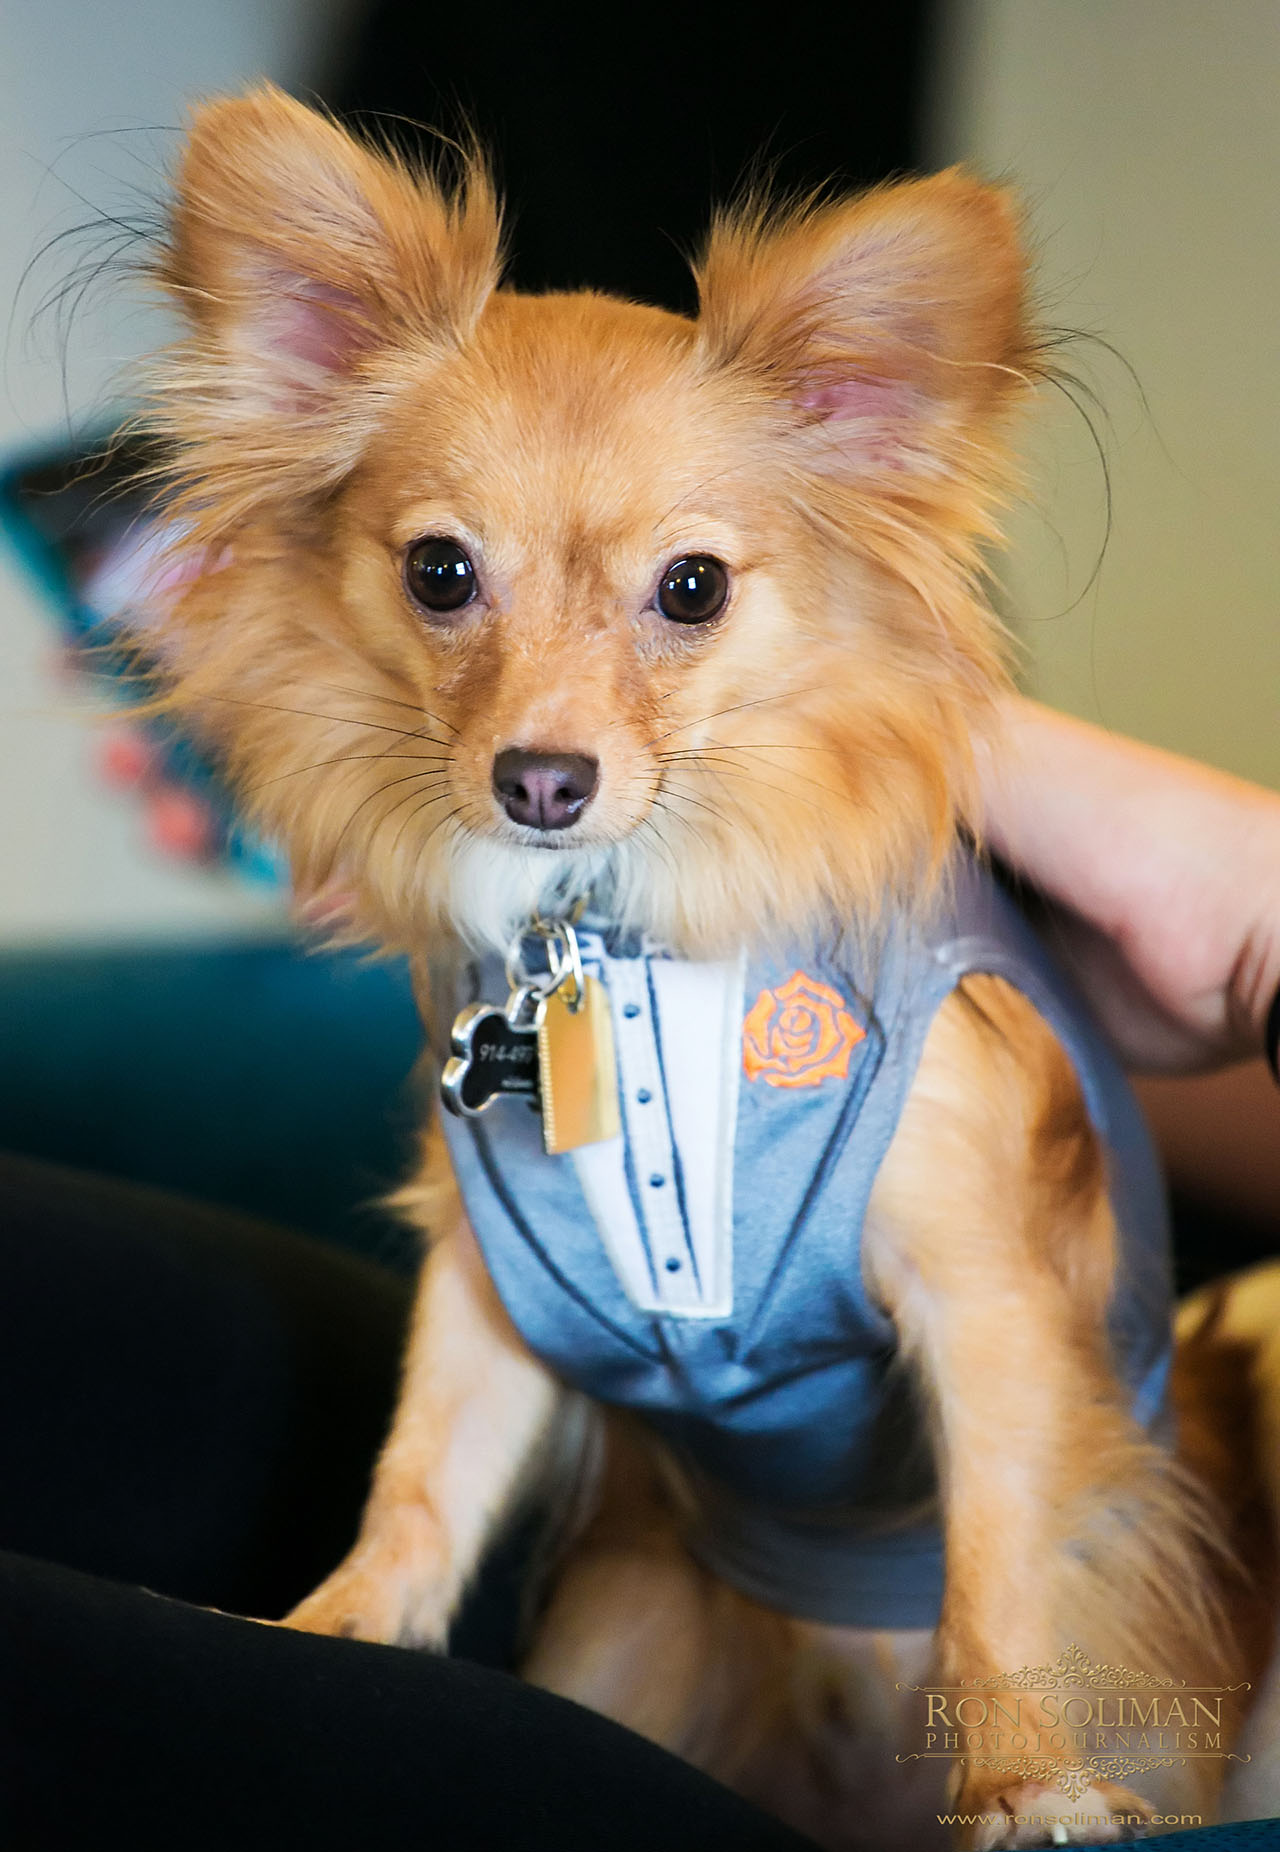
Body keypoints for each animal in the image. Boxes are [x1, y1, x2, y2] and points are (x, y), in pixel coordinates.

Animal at [127, 87, 1252, 1852]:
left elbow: (998, 1567)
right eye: (439, 573)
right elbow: (421, 1477)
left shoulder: (985, 1301)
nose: (541, 778)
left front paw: (1026, 1776)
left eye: (694, 590)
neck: (609, 936)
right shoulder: (491, 1296)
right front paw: (335, 1629)